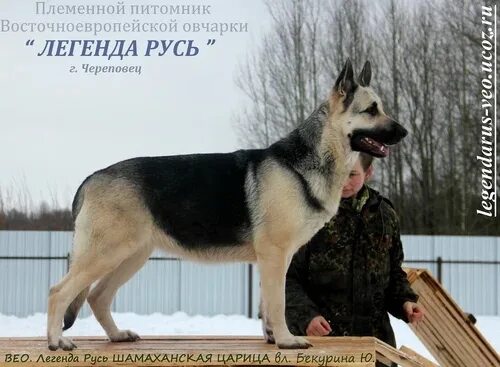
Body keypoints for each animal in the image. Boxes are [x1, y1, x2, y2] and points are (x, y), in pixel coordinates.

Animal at [46, 59, 406, 350]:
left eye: (381, 108)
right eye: (371, 110)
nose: (404, 132)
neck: (306, 160)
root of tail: (92, 178)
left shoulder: (271, 260)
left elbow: (267, 305)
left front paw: (273, 338)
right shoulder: (275, 255)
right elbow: (278, 303)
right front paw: (287, 341)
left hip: (130, 256)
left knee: (97, 296)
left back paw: (116, 336)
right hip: (106, 254)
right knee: (59, 292)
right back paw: (56, 342)